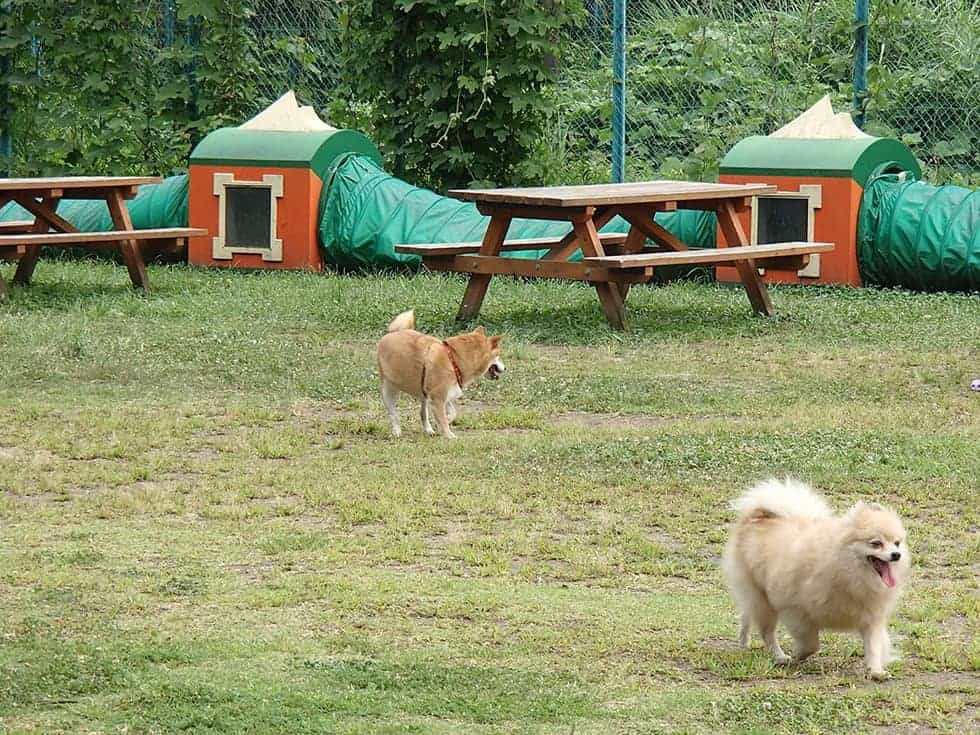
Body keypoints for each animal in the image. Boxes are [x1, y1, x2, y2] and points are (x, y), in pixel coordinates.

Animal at [378, 310, 506, 436]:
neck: (453, 359)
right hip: (389, 390)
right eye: (498, 355)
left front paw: (444, 421)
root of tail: (394, 332)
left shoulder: (445, 396)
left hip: (423, 393)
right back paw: (397, 431)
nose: (505, 368)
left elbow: (452, 413)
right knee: (393, 414)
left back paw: (428, 429)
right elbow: (444, 421)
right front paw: (450, 436)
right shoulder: (438, 399)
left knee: (423, 413)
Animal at [720, 478, 912, 680]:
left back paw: (744, 641)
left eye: (897, 543)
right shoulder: (798, 612)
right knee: (767, 632)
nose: (896, 555)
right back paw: (779, 656)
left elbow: (873, 645)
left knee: (747, 614)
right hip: (763, 599)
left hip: (757, 597)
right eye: (876, 543)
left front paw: (875, 670)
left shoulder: (870, 616)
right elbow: (812, 644)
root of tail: (759, 516)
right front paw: (797, 655)